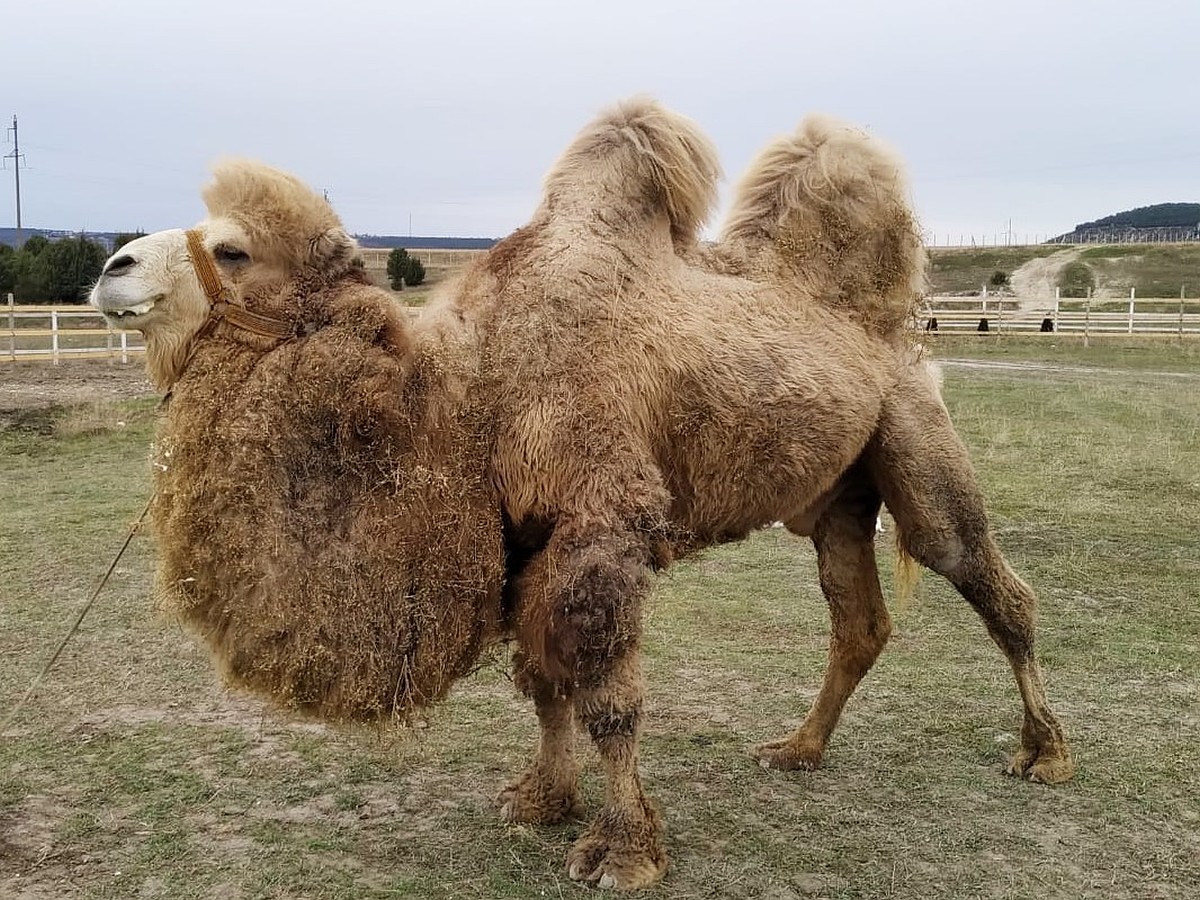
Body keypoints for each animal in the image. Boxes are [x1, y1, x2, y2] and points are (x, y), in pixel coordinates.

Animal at [88, 97, 1075, 888]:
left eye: (232, 248)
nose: (112, 266)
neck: (468, 392)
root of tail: (884, 321)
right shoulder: (525, 535)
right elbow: (543, 679)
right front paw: (539, 799)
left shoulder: (607, 520)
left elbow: (606, 696)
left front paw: (624, 852)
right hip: (835, 493)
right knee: (858, 619)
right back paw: (798, 750)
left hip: (912, 431)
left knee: (988, 580)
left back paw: (1046, 754)